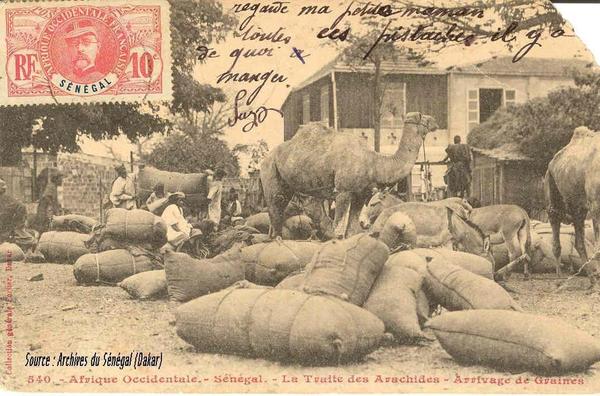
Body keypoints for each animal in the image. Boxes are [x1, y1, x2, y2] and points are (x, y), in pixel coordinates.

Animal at [260, 113, 438, 240]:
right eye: (422, 116)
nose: (435, 121)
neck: (373, 162)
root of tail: (266, 159)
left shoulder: (360, 195)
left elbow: (352, 230)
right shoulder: (343, 192)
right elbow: (339, 229)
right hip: (270, 173)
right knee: (275, 209)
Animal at [548, 125, 600, 286]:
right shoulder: (595, 204)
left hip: (578, 208)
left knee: (578, 241)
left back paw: (592, 280)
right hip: (551, 188)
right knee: (555, 224)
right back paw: (559, 280)